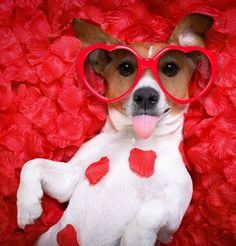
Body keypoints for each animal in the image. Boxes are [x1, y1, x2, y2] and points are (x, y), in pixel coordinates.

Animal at [17, 13, 214, 246]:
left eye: (170, 68)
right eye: (126, 68)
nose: (145, 95)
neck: (137, 139)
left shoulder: (173, 216)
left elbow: (151, 211)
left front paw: (135, 237)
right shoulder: (69, 178)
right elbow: (32, 164)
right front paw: (27, 205)